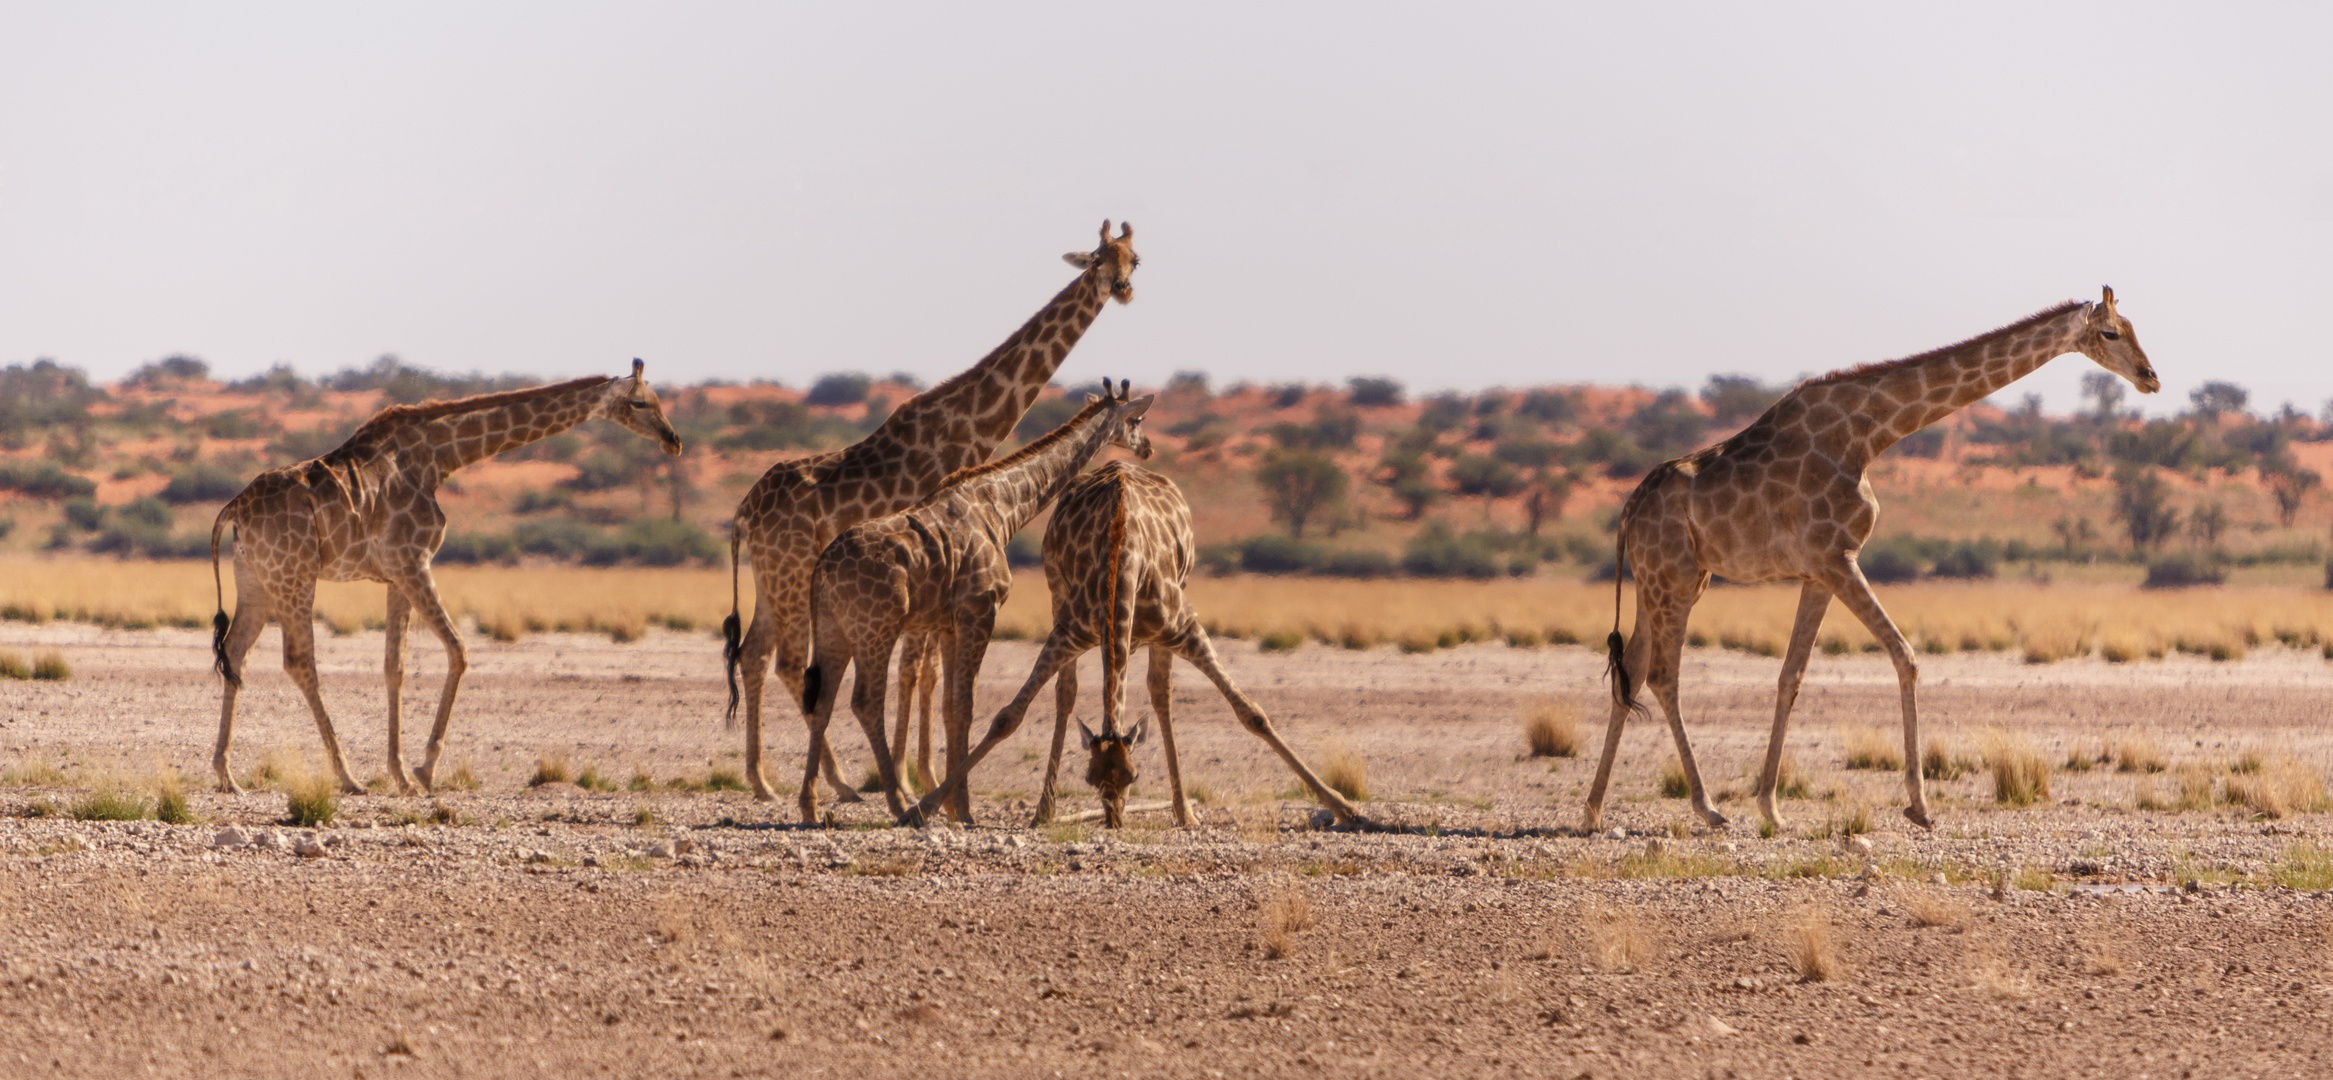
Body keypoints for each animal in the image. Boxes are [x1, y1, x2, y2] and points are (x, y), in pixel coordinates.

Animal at [206, 363, 681, 793]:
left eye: (659, 400)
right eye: (640, 402)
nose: (673, 441)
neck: (438, 459)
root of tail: (232, 509)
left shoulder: (395, 576)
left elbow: (394, 666)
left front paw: (401, 775)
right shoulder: (413, 561)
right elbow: (459, 650)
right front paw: (425, 769)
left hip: (256, 581)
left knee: (235, 652)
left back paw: (228, 775)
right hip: (295, 576)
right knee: (299, 661)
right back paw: (347, 778)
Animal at [797, 380, 1152, 830]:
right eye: (1136, 419)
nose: (1147, 447)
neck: (1003, 506)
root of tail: (822, 569)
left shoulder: (950, 623)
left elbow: (952, 708)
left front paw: (954, 807)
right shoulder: (981, 611)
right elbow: (966, 706)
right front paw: (959, 810)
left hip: (833, 629)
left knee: (821, 703)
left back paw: (809, 807)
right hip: (876, 628)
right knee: (864, 702)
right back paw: (898, 803)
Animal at [1577, 289, 2155, 835]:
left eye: (2132, 327)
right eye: (2109, 332)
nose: (2151, 377)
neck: (1868, 436)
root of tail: (1628, 510)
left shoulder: (1818, 572)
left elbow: (1791, 676)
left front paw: (1771, 808)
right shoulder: (1836, 558)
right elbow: (1905, 655)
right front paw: (1919, 807)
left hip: (1669, 581)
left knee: (1632, 669)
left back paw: (1593, 811)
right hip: (1672, 580)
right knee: (1662, 675)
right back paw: (1706, 808)